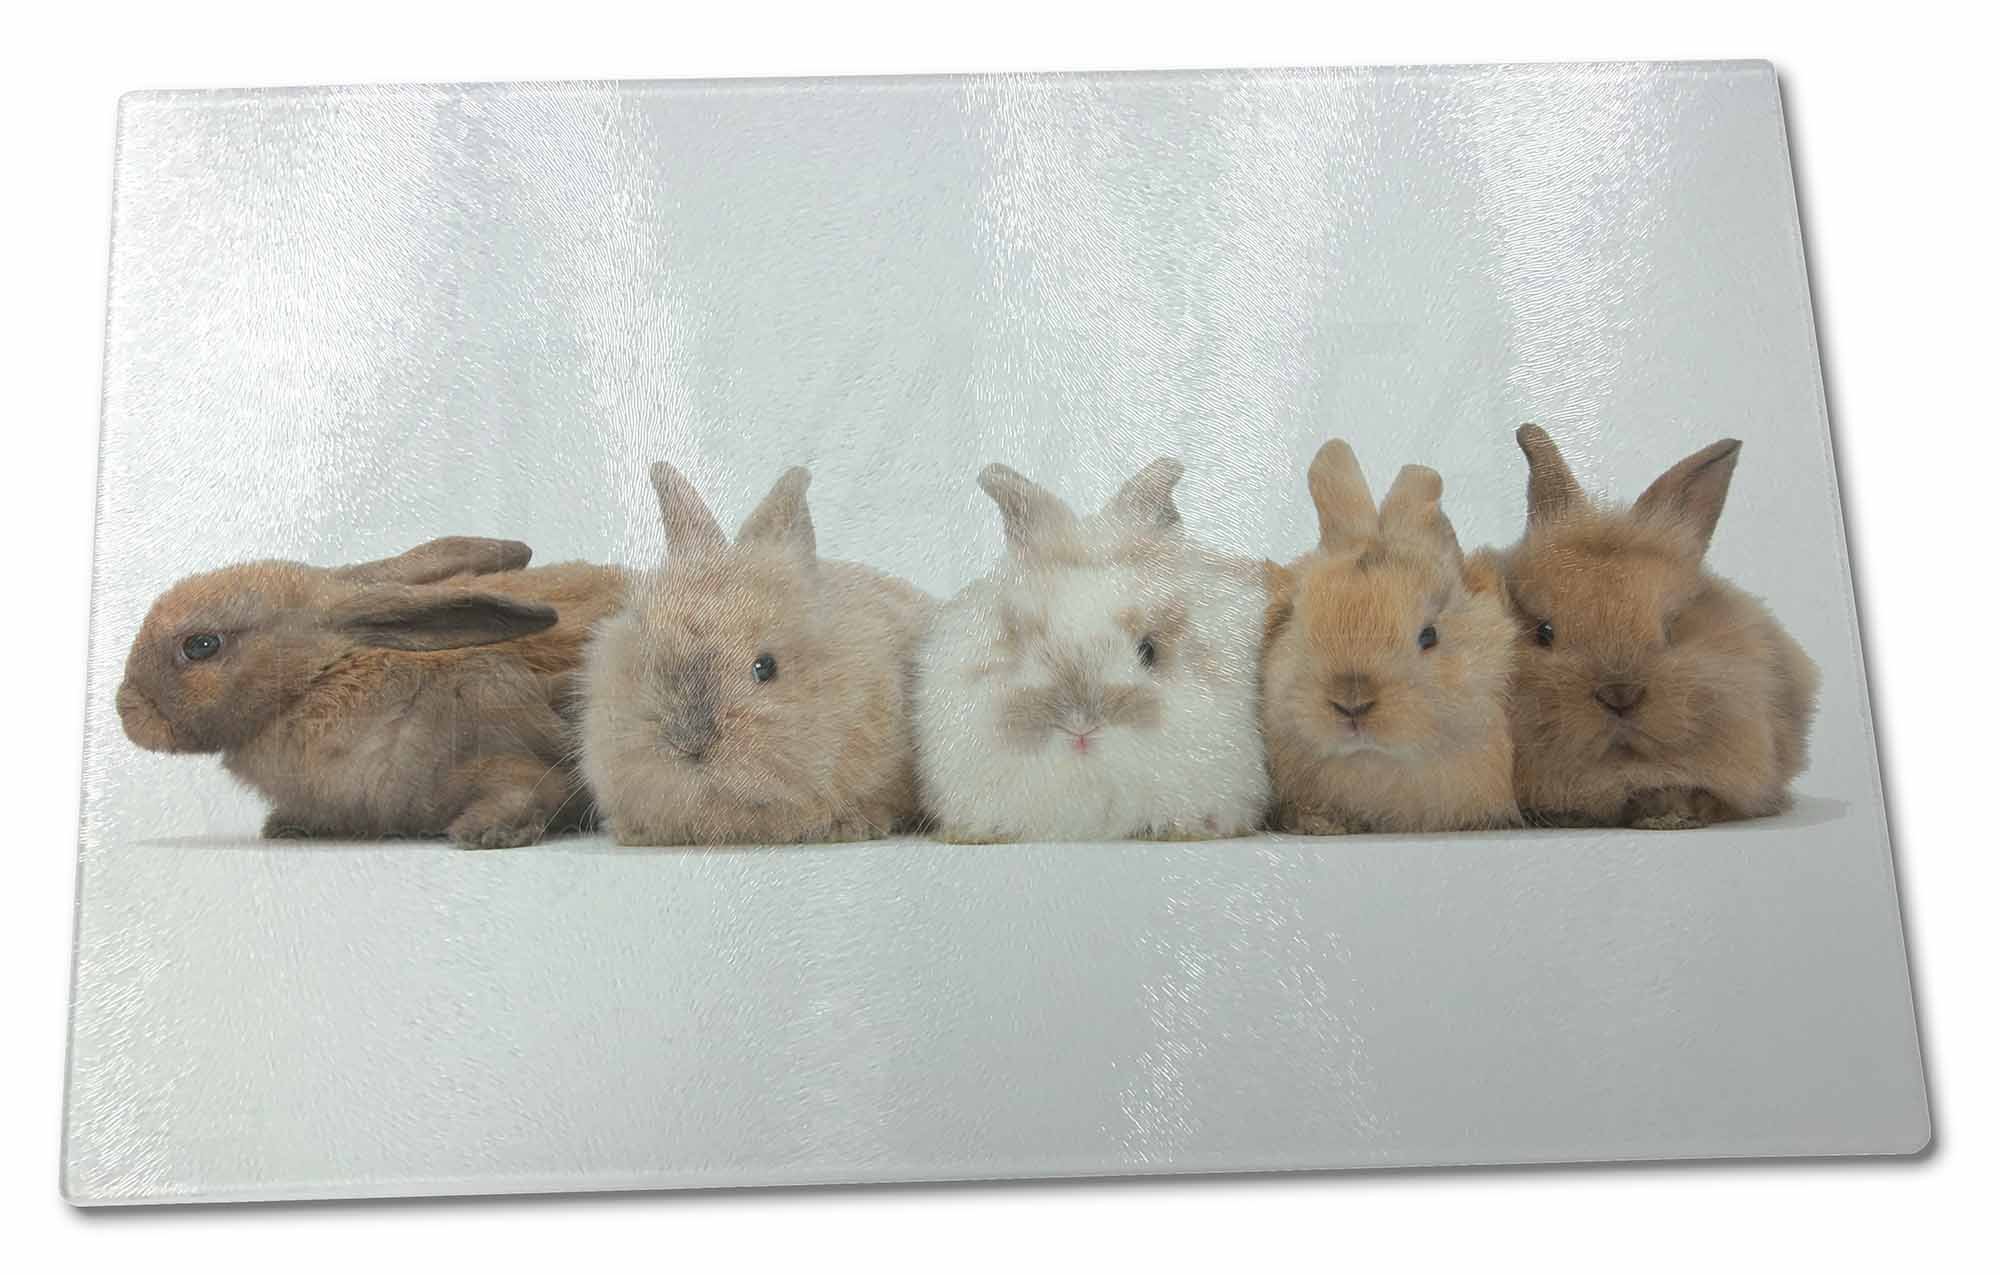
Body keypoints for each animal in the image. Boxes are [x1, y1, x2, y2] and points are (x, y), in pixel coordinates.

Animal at [116, 537, 630, 848]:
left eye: (200, 646)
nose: (125, 709)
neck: (324, 677)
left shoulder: (511, 748)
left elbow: (529, 790)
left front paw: (484, 834)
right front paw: (283, 827)